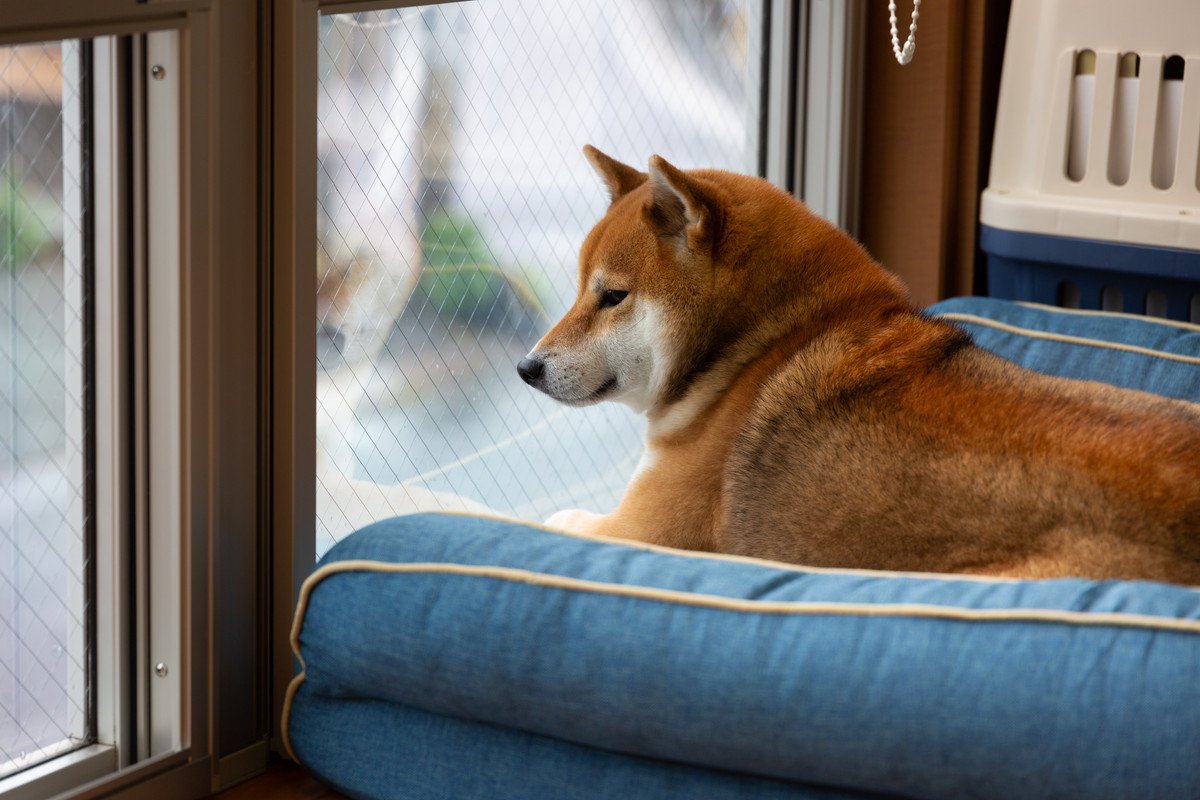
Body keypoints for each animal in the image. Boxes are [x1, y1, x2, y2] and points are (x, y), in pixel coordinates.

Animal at [520, 145, 1200, 582]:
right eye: (578, 288)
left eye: (613, 296)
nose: (526, 368)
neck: (763, 346)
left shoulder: (641, 530)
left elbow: (555, 516)